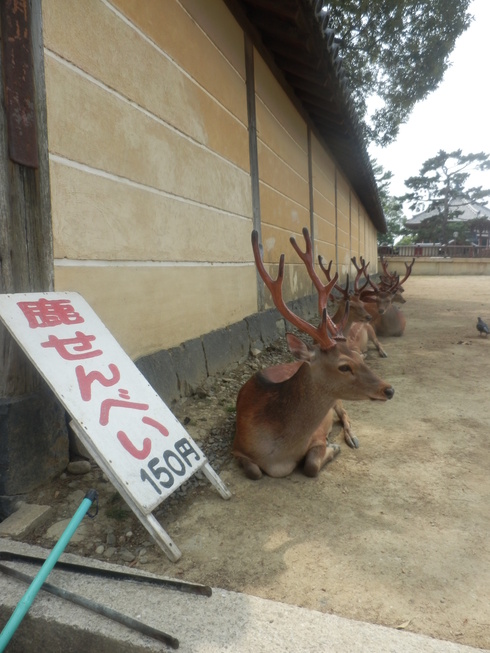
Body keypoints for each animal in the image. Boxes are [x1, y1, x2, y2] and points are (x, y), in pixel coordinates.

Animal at [232, 229, 396, 478]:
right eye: (344, 366)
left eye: (359, 357)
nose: (389, 389)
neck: (278, 457)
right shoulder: (236, 447)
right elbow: (255, 472)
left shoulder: (317, 435)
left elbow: (310, 466)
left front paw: (334, 447)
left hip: (338, 400)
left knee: (346, 415)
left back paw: (352, 438)